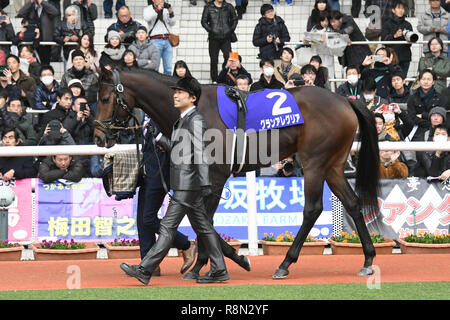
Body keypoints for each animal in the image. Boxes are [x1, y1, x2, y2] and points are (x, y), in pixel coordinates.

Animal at [94, 69, 380, 278]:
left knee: (312, 209)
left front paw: (205, 265)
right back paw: (367, 259)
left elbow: (204, 220)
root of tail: (345, 101)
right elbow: (200, 219)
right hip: (333, 165)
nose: (98, 137)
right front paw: (232, 258)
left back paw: (285, 263)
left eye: (105, 99)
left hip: (315, 163)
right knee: (353, 203)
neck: (197, 109)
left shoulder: (215, 177)